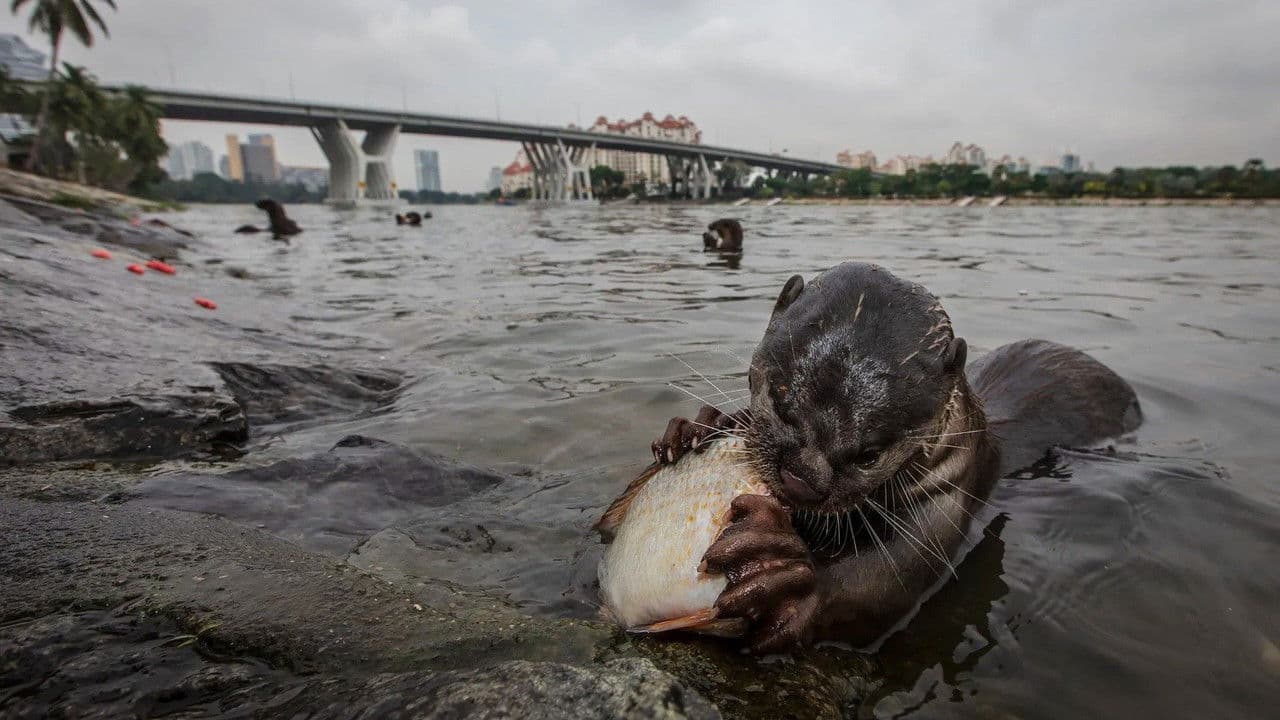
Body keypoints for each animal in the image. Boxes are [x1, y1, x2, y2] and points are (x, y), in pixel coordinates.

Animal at [647, 262, 1141, 653]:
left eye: (870, 453)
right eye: (783, 401)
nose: (802, 477)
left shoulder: (951, 493)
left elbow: (886, 586)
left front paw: (786, 573)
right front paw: (697, 428)